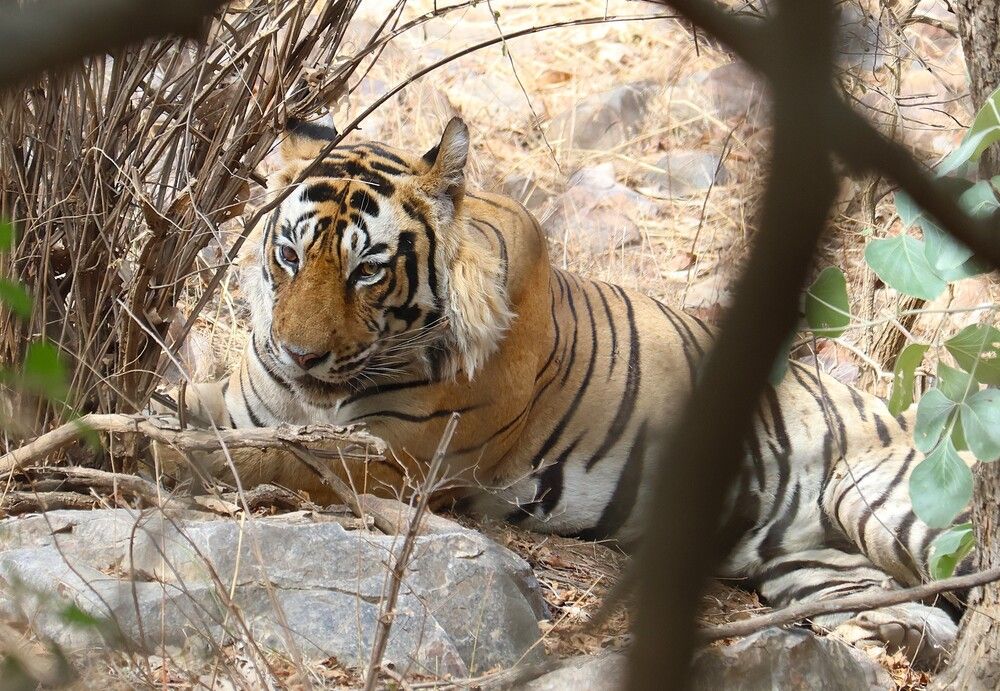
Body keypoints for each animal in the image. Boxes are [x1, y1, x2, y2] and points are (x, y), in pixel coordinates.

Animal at [160, 116, 967, 668]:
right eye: (289, 255)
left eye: (366, 271)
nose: (301, 354)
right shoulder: (247, 400)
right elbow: (185, 410)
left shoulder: (393, 455)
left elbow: (269, 454)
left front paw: (165, 459)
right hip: (804, 559)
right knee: (912, 606)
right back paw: (896, 631)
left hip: (883, 498)